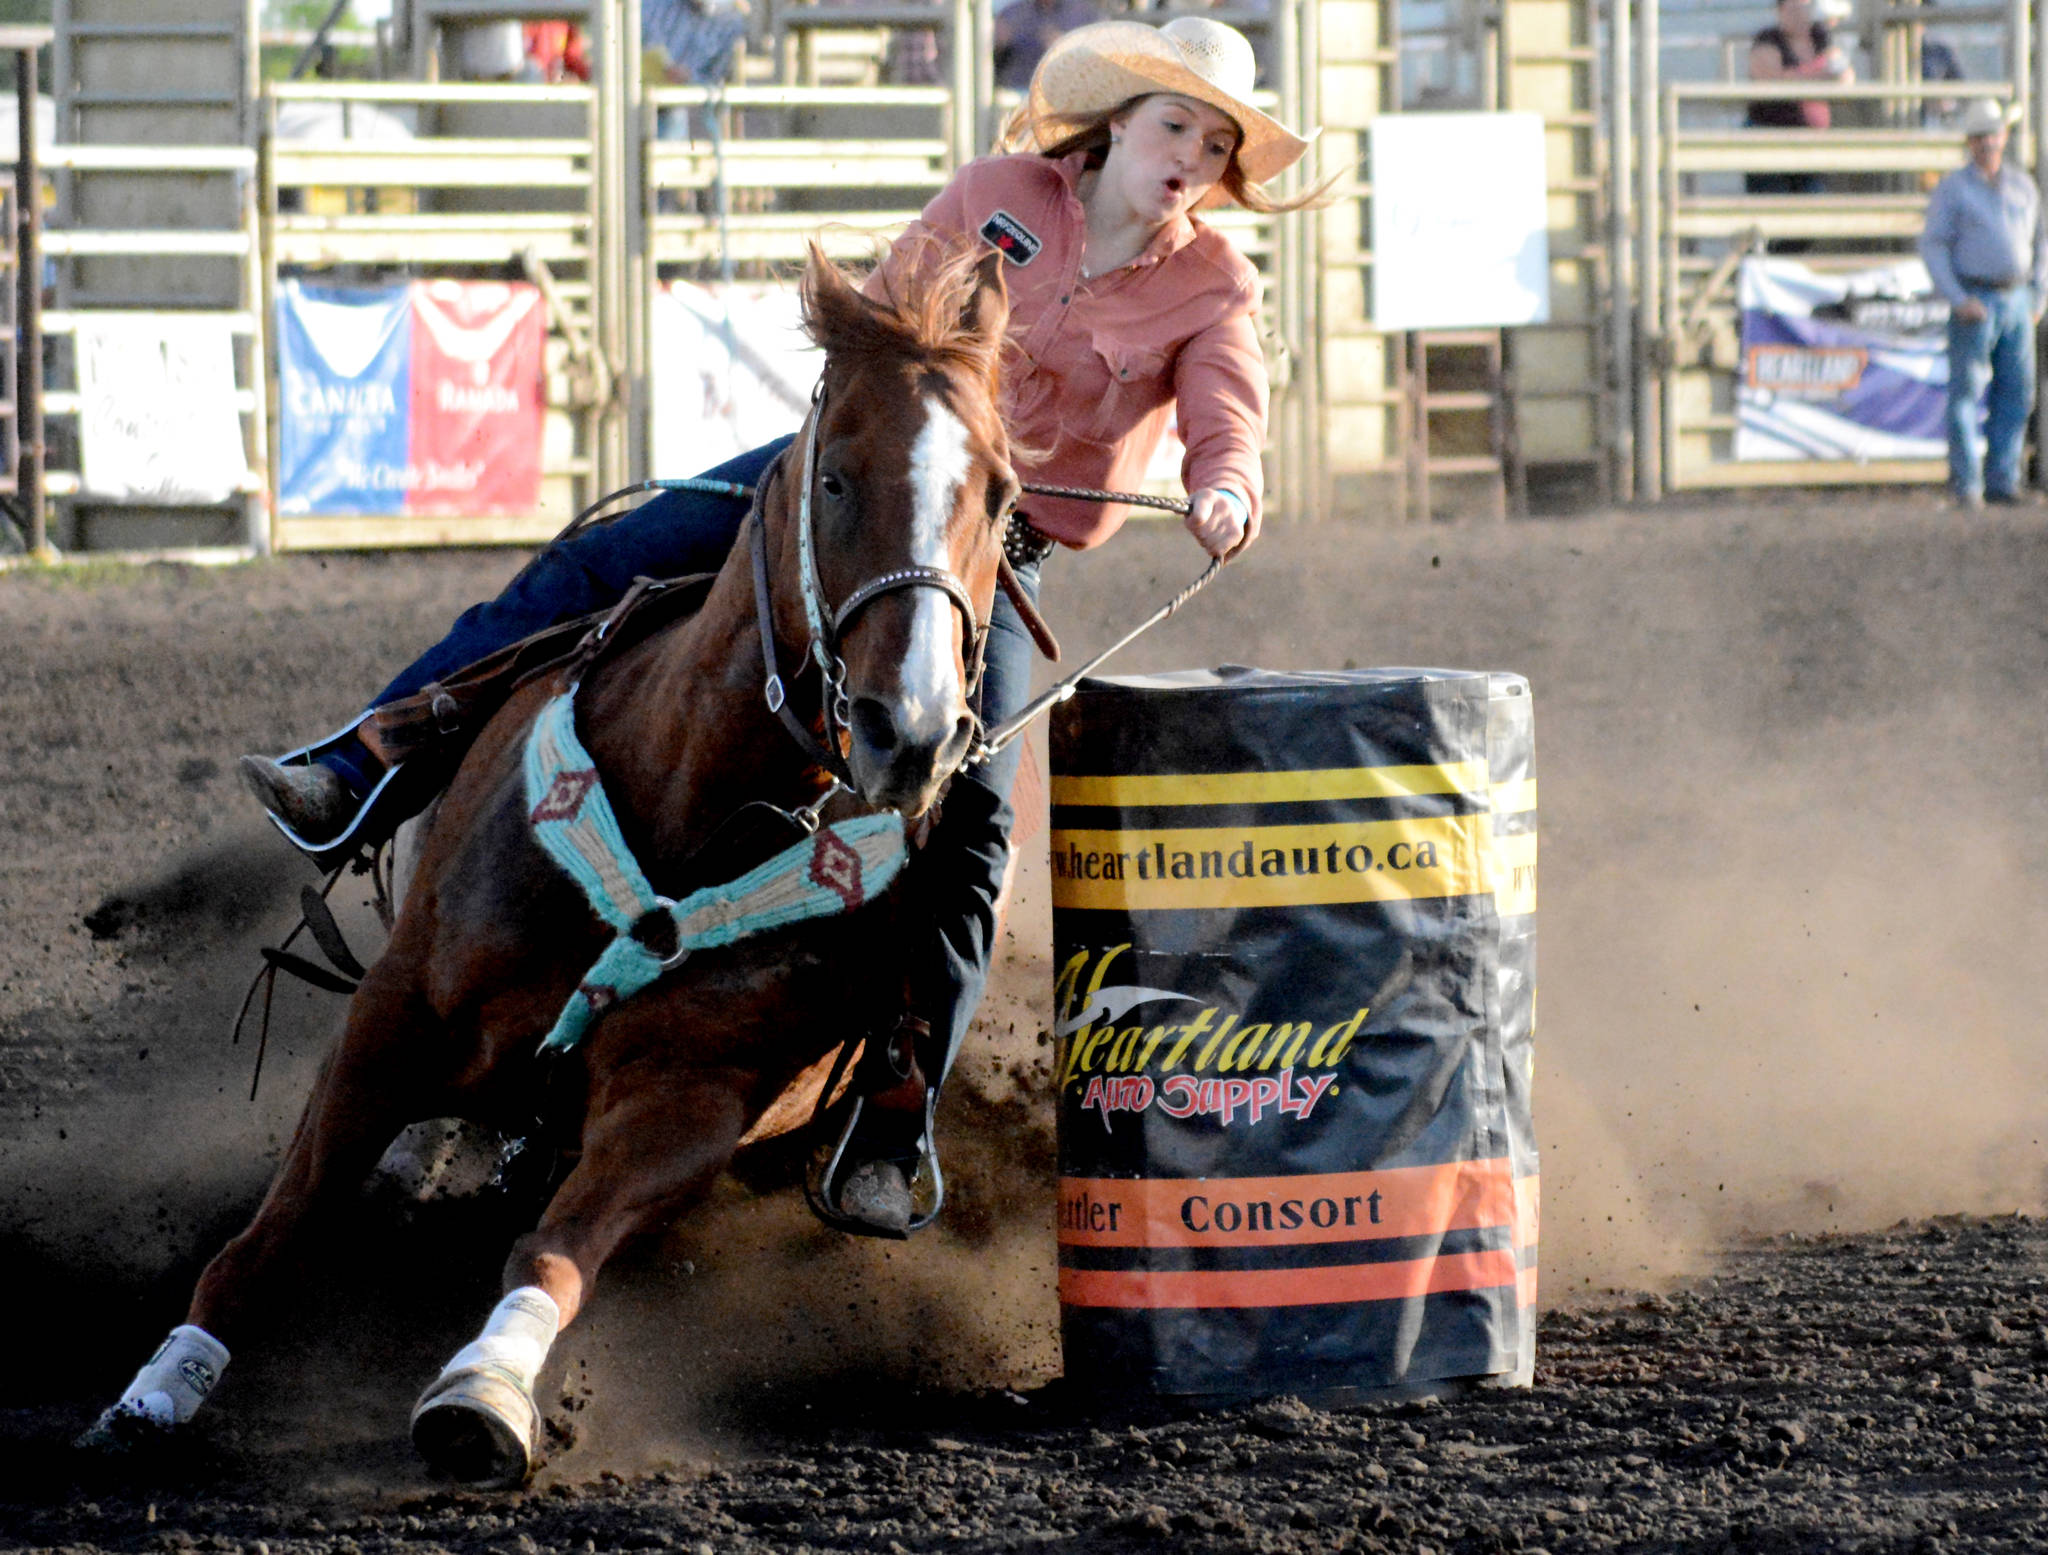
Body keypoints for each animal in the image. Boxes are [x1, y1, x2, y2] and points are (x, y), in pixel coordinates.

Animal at [86, 243, 1015, 1483]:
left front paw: (482, 1390)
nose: (907, 732)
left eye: (1002, 496)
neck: (683, 801)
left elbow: (556, 1249)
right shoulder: (390, 1014)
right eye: (834, 478)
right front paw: (154, 1392)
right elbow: (277, 1227)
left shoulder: (686, 1105)